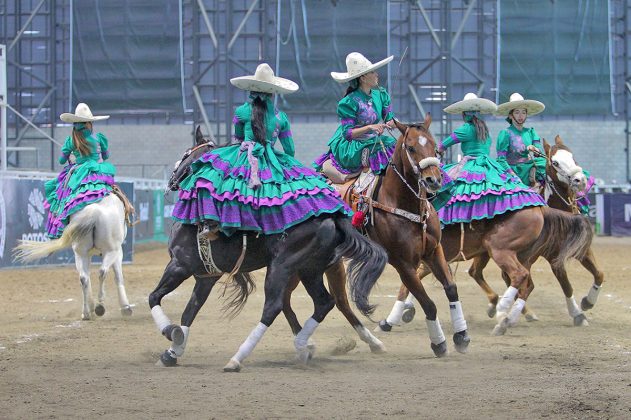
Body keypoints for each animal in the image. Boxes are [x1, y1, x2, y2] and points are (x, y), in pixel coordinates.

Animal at [13, 194, 132, 322]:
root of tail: (93, 211)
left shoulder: (89, 254)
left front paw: (91, 306)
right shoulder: (118, 252)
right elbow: (118, 276)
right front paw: (125, 307)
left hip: (80, 253)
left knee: (84, 278)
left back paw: (86, 313)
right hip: (110, 250)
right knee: (102, 272)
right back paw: (99, 306)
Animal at [150, 127, 388, 370]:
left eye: (186, 153)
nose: (171, 181)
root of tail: (334, 216)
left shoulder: (179, 265)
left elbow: (155, 297)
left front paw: (170, 333)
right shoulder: (206, 276)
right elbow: (189, 312)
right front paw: (173, 351)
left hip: (281, 267)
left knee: (273, 307)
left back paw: (238, 358)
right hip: (309, 270)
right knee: (324, 303)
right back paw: (304, 345)